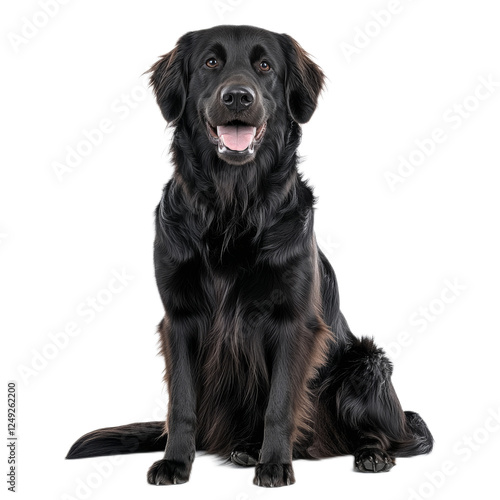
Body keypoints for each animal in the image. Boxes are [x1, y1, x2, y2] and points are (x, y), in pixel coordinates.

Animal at [67, 25, 434, 486]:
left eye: (264, 66)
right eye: (210, 62)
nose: (238, 97)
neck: (232, 207)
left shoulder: (293, 322)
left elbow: (280, 403)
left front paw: (275, 464)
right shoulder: (179, 318)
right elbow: (180, 403)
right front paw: (176, 462)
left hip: (364, 363)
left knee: (384, 431)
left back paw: (369, 453)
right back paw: (244, 448)